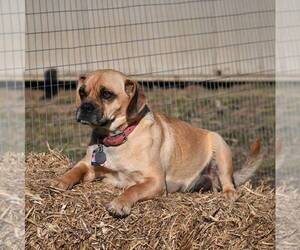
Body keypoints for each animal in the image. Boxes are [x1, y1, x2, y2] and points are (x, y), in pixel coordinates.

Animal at [52, 69, 262, 218]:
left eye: (107, 94)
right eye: (82, 92)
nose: (85, 107)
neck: (116, 139)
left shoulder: (155, 181)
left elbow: (133, 188)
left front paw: (120, 203)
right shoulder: (88, 166)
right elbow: (74, 170)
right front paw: (60, 180)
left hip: (220, 145)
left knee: (228, 182)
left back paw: (229, 194)